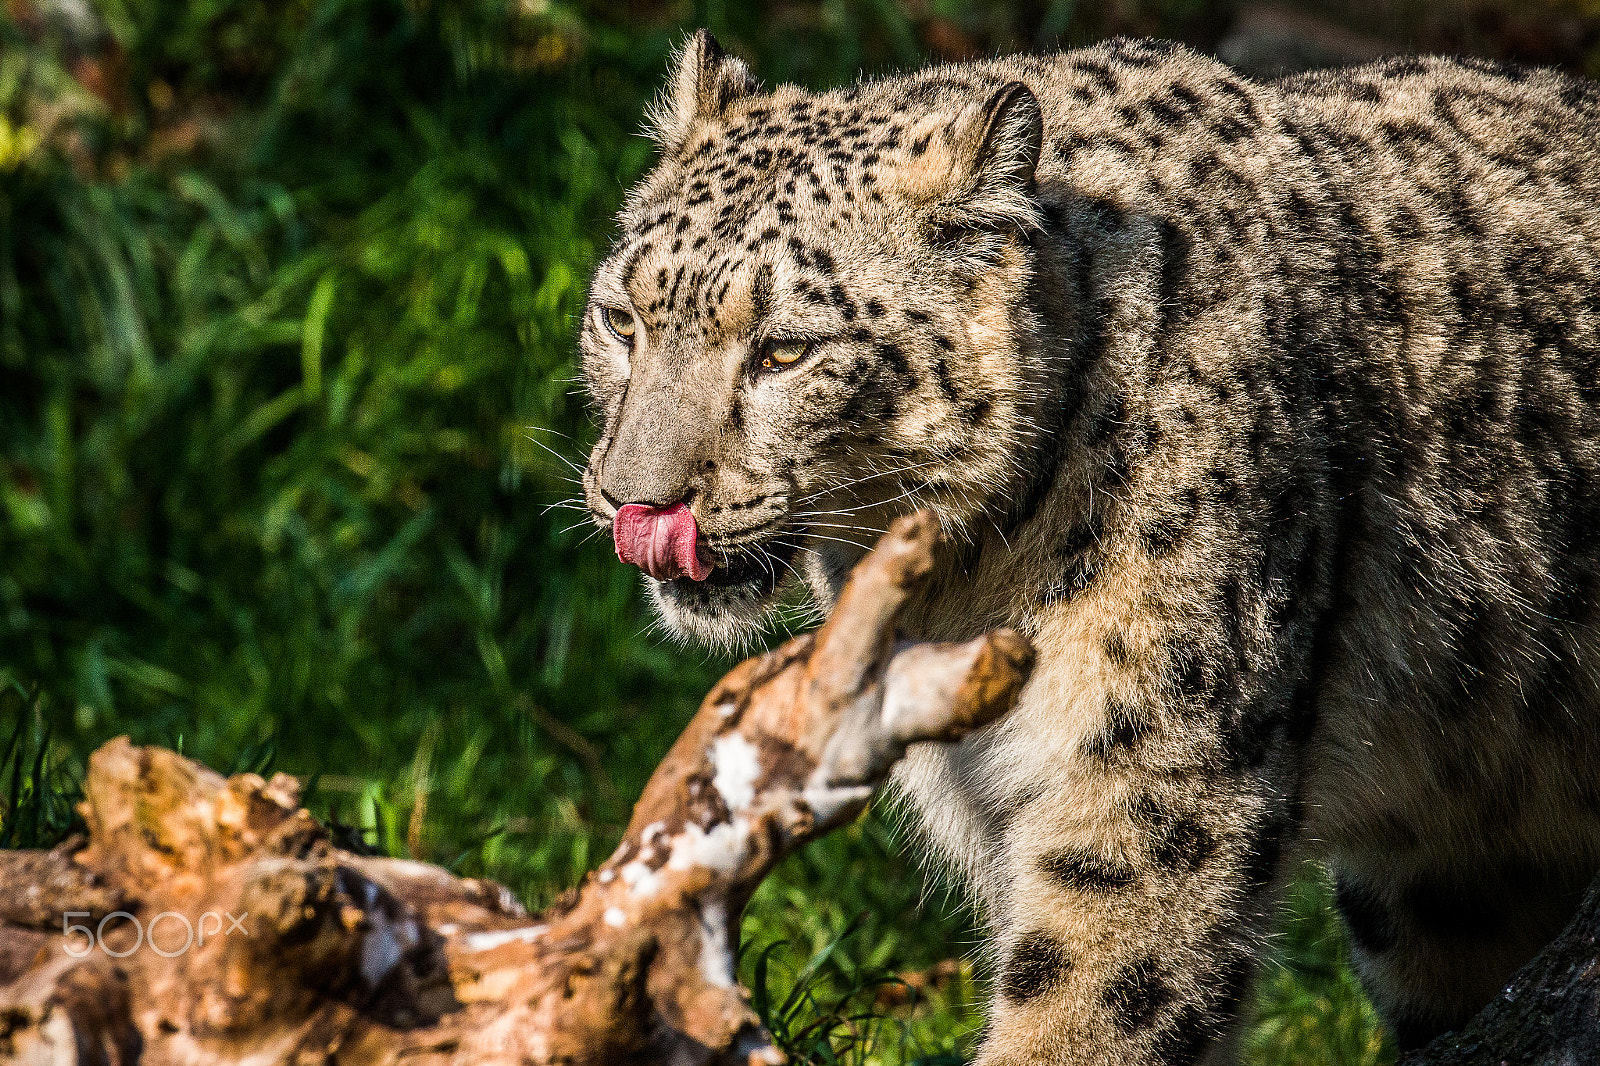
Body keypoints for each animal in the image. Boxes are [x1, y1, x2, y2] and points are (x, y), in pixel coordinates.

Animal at [577, 29, 1600, 1064]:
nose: (636, 500)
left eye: (786, 351)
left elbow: (1084, 1002)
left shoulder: (1154, 779)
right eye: (621, 319)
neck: (967, 591)